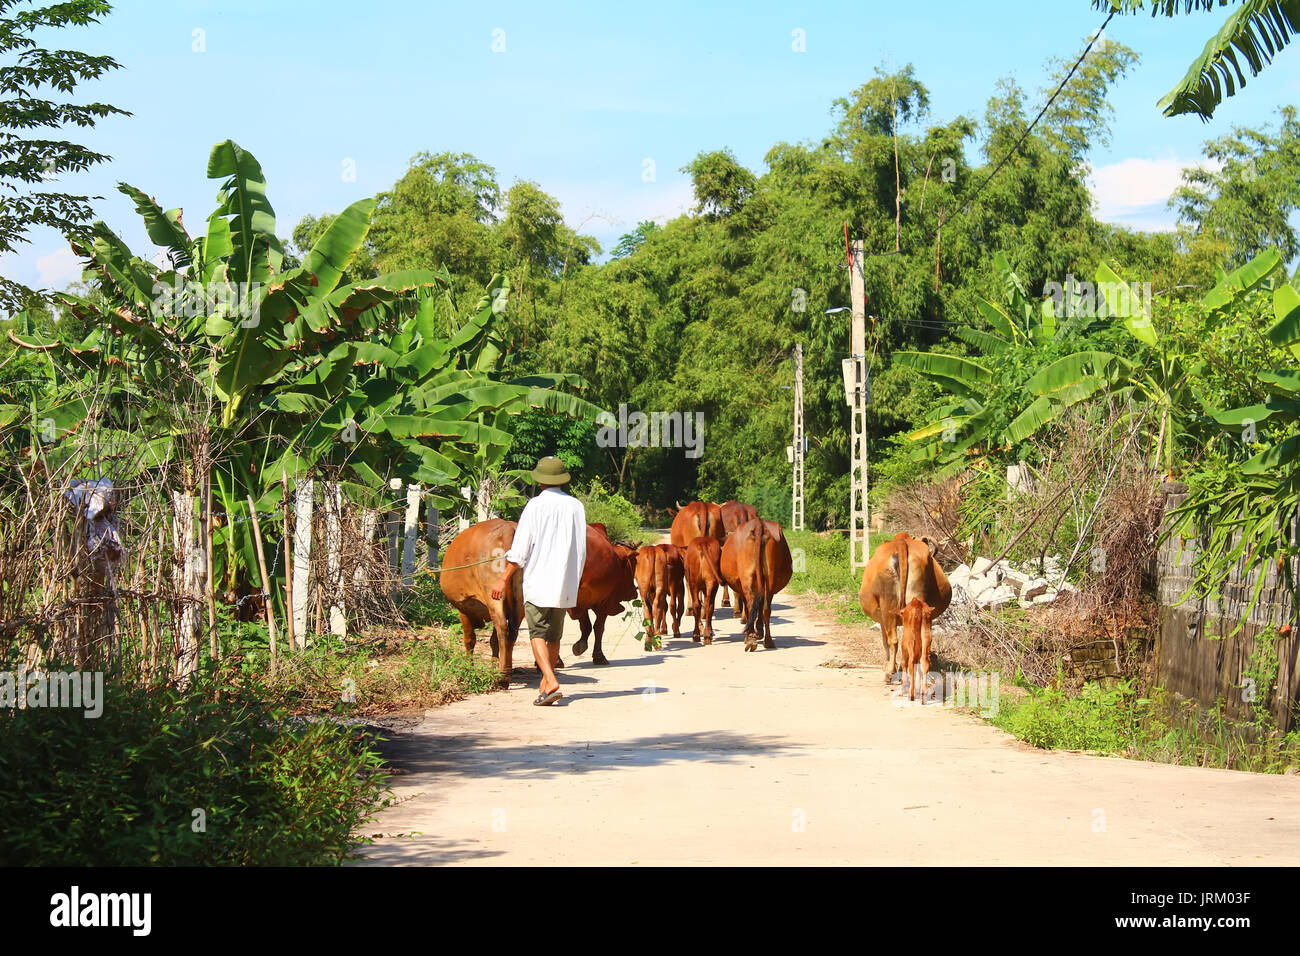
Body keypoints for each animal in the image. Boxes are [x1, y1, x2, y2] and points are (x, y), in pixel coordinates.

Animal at [436, 520, 517, 686]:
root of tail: (506, 529)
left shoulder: (463, 607)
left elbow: (469, 639)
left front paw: (468, 670)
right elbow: (492, 641)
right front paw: (492, 666)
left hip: (493, 595)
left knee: (502, 628)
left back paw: (502, 676)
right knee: (512, 631)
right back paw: (505, 671)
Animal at [722, 520, 790, 655]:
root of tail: (759, 523)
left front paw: (753, 633)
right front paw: (759, 631)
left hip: (746, 576)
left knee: (750, 603)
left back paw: (750, 639)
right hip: (770, 578)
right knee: (766, 607)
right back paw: (768, 641)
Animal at [857, 535, 951, 686]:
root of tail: (901, 542)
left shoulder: (882, 620)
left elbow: (885, 641)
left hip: (887, 605)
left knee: (893, 641)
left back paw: (890, 673)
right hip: (917, 604)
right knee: (920, 641)